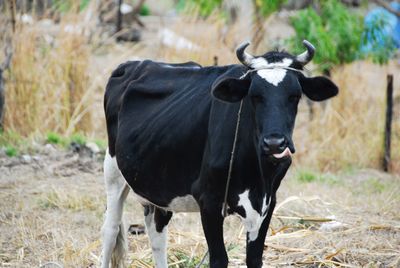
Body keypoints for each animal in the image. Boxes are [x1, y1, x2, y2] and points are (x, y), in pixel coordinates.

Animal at [99, 40, 338, 268]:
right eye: (255, 95)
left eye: (295, 96)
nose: (274, 144)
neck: (257, 173)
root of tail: (133, 64)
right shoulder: (208, 200)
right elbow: (219, 259)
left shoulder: (268, 202)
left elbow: (254, 259)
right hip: (112, 171)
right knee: (110, 230)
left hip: (158, 185)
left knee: (157, 234)